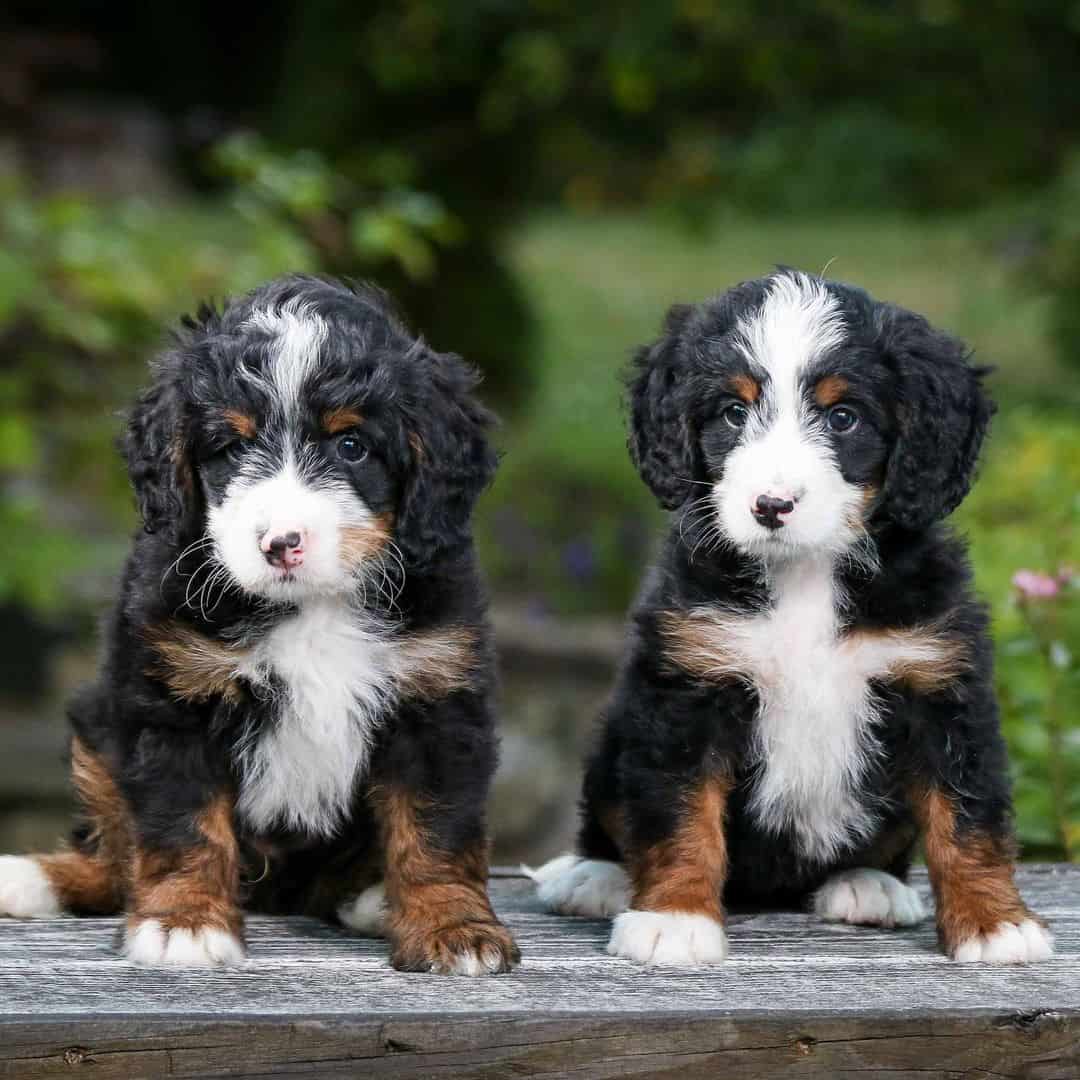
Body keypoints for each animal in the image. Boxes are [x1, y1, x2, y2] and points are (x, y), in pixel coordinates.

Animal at [0, 274, 522, 976]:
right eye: (233, 447)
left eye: (351, 446)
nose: (281, 544)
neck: (313, 607)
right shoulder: (174, 699)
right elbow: (182, 824)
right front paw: (185, 922)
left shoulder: (437, 698)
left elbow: (437, 828)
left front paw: (454, 926)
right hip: (95, 729)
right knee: (111, 857)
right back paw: (34, 878)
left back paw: (370, 895)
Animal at [531, 270, 1054, 972]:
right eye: (733, 412)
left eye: (842, 417)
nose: (771, 505)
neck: (805, 573)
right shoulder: (686, 690)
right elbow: (678, 813)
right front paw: (673, 917)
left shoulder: (939, 686)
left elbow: (968, 815)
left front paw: (996, 923)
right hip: (615, 734)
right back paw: (595, 876)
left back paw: (868, 884)